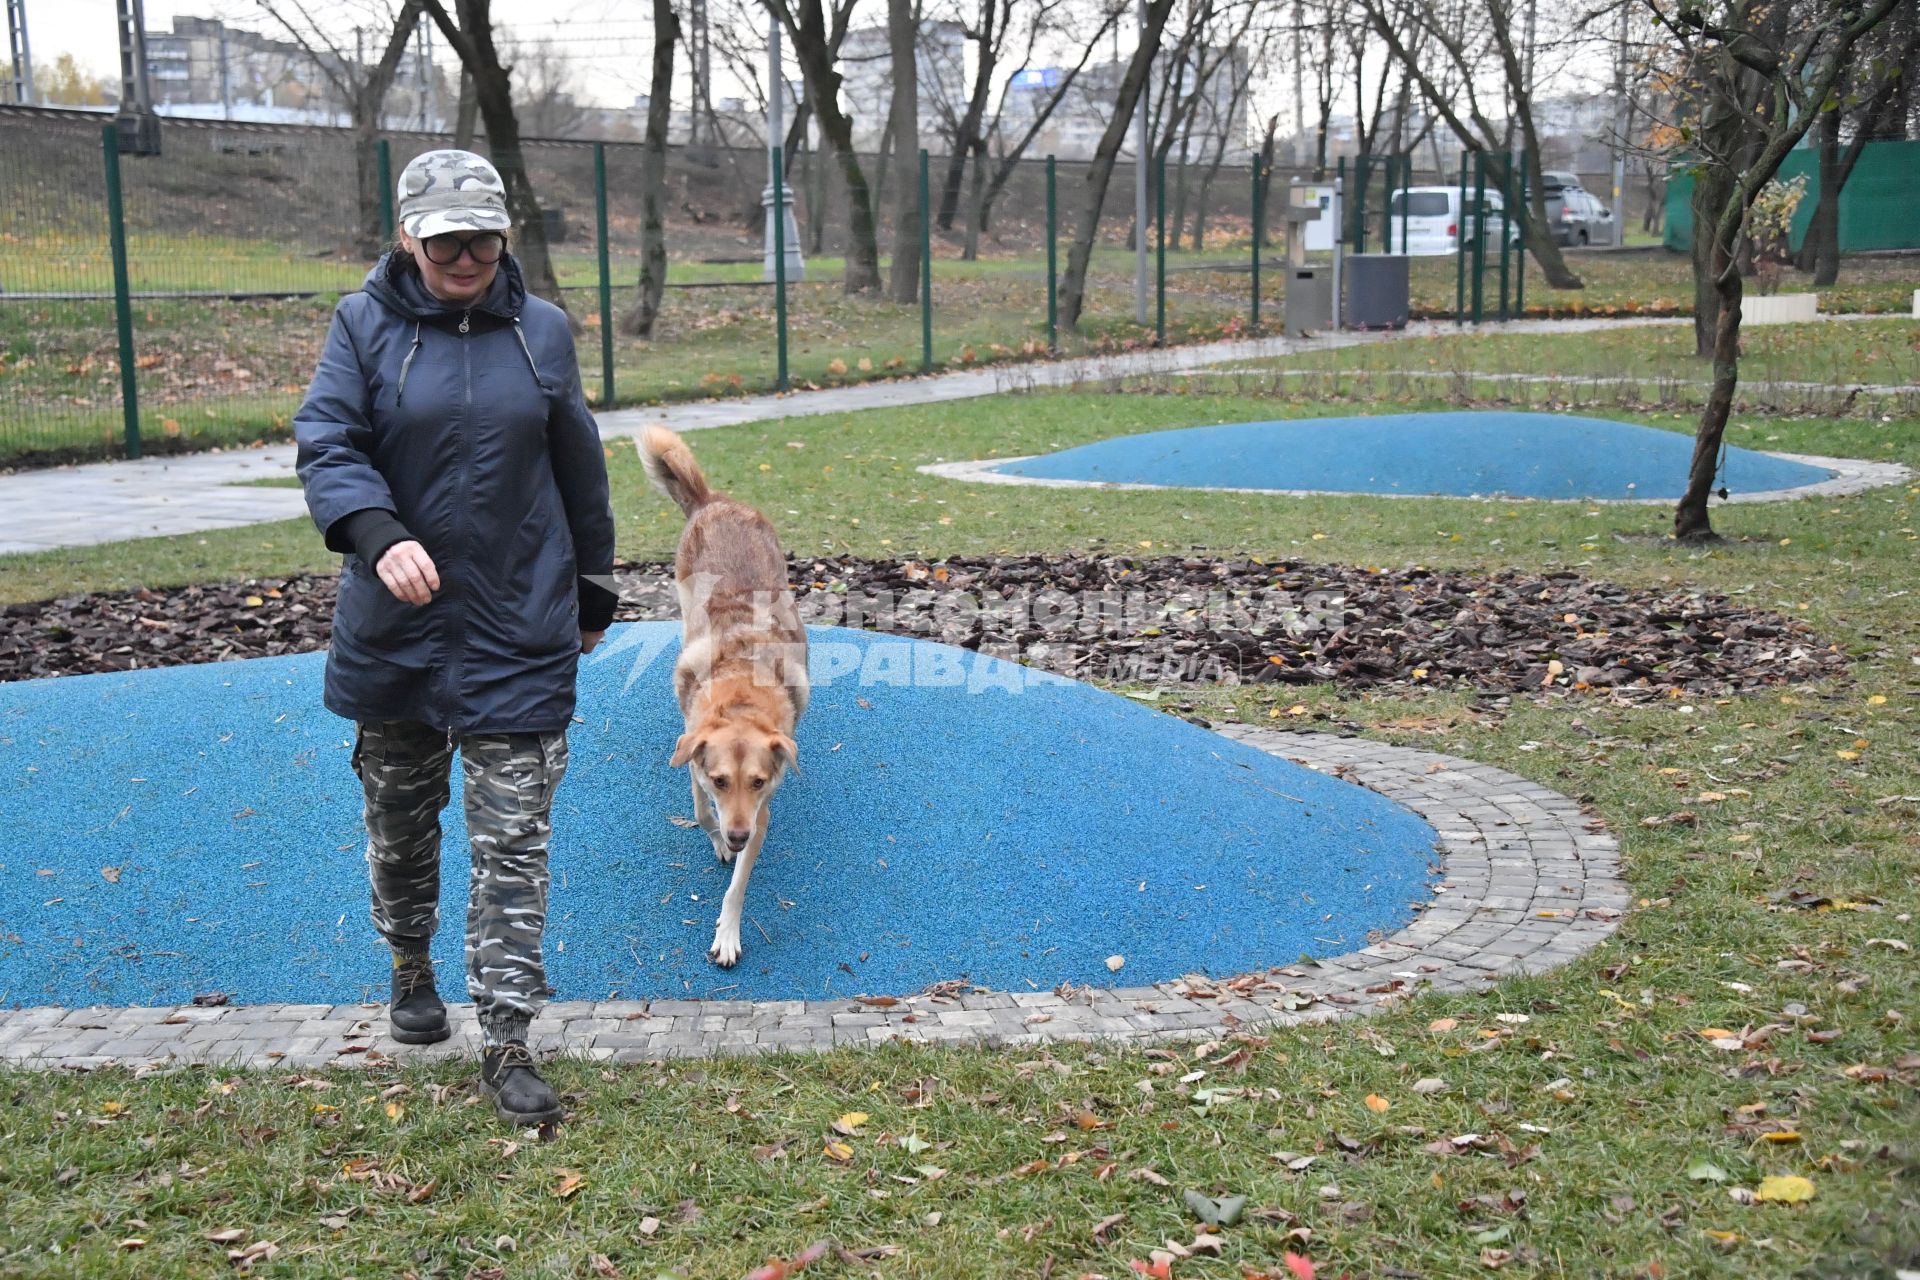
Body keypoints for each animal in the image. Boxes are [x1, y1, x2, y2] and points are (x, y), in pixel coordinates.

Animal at [637, 426, 802, 967]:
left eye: (757, 782)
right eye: (720, 778)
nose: (738, 835)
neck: (741, 694)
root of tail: (714, 500)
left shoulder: (762, 813)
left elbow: (737, 887)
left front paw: (728, 932)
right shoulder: (692, 757)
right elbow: (700, 810)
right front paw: (718, 842)